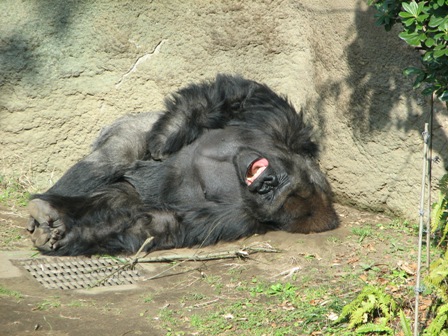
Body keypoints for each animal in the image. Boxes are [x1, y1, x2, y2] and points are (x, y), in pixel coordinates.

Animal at [26, 75, 338, 256]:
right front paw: (165, 139)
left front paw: (75, 235)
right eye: (279, 185)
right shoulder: (282, 125)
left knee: (120, 198)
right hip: (129, 125)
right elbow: (235, 95)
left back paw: (56, 214)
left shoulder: (237, 219)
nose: (265, 185)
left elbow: (160, 224)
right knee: (111, 159)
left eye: (275, 199)